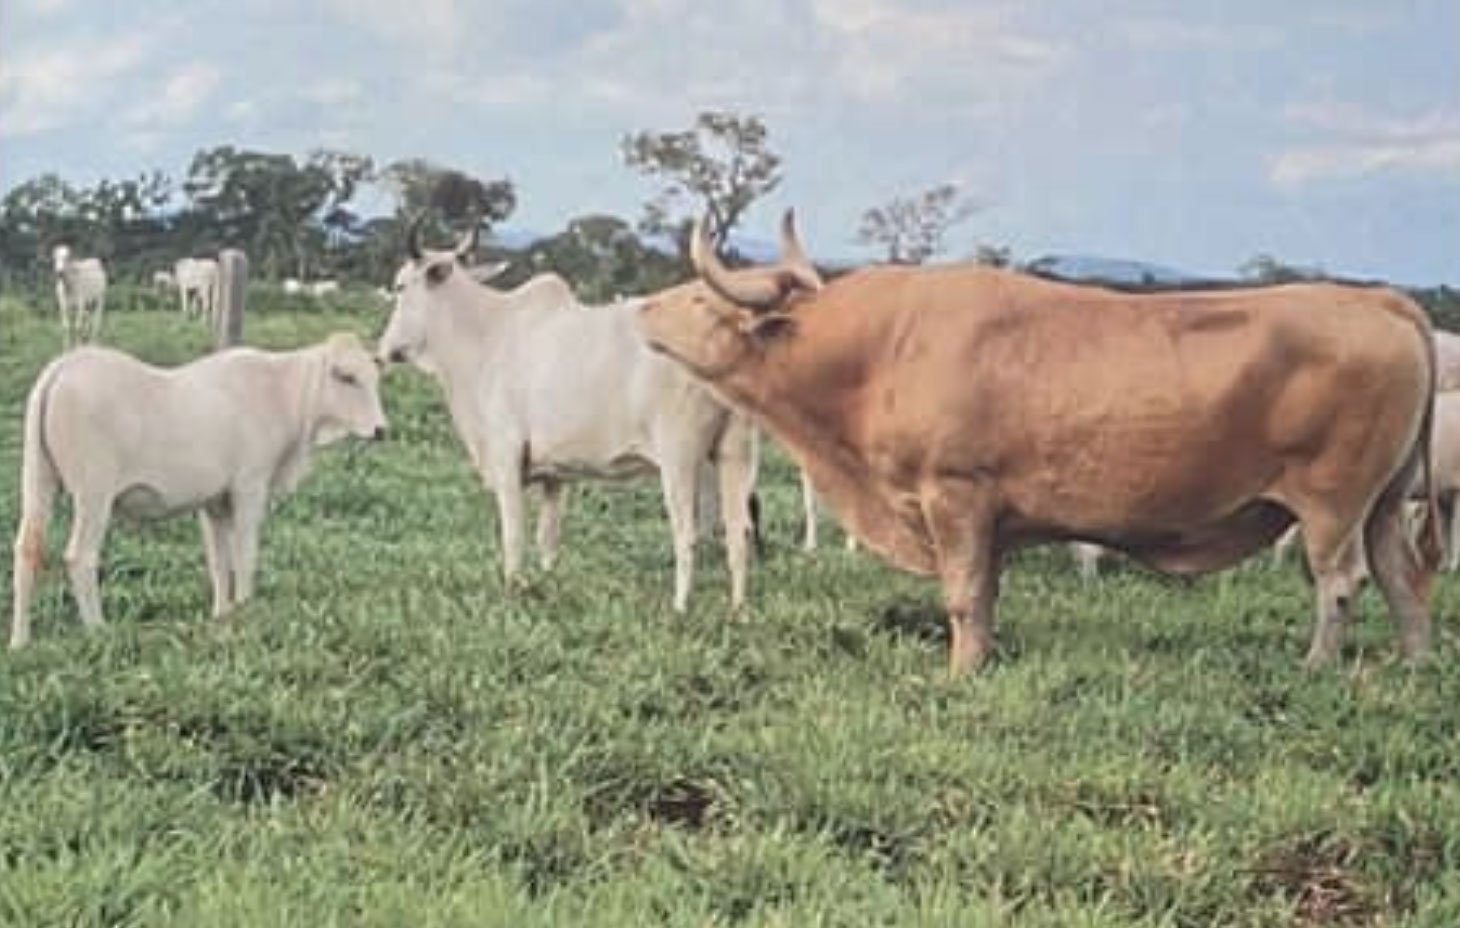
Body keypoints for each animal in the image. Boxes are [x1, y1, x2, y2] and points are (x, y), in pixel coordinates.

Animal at [9, 329, 388, 647]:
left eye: (375, 378)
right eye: (347, 377)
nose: (382, 430)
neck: (281, 391)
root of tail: (66, 365)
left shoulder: (213, 502)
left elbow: (219, 562)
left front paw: (223, 615)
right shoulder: (249, 487)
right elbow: (244, 556)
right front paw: (246, 610)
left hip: (38, 480)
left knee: (28, 549)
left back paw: (20, 641)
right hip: (94, 494)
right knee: (80, 557)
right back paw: (98, 630)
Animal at [376, 221, 759, 612]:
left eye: (400, 286)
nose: (382, 352)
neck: (486, 334)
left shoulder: (506, 456)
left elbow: (514, 535)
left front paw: (513, 589)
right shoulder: (555, 473)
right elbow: (548, 538)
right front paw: (549, 583)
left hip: (679, 457)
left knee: (688, 533)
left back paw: (680, 608)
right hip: (734, 452)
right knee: (738, 530)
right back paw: (737, 609)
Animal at [636, 211, 1436, 674]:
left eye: (700, 297)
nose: (641, 309)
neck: (879, 351)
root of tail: (1377, 300)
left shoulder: (954, 495)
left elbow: (962, 596)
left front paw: (959, 674)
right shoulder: (991, 518)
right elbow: (985, 594)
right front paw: (983, 662)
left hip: (1334, 505)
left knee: (1342, 582)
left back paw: (1317, 666)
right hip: (1384, 505)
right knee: (1403, 578)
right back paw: (1411, 667)